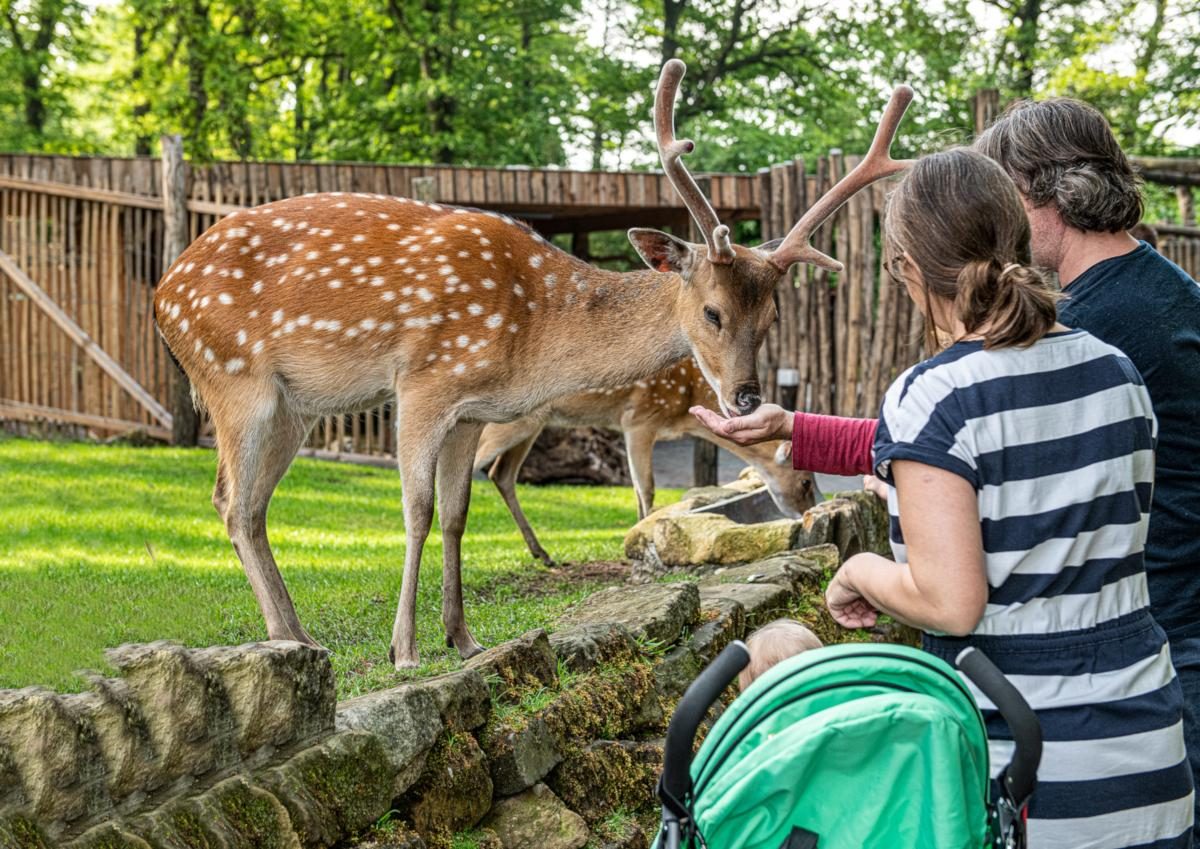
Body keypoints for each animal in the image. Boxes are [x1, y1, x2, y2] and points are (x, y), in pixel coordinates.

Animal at [472, 354, 820, 566]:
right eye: (805, 482)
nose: (807, 514)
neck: (686, 406)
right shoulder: (639, 419)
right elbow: (647, 488)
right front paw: (638, 542)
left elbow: (638, 489)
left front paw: (636, 541)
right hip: (513, 422)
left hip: (533, 423)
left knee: (501, 473)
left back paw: (542, 553)